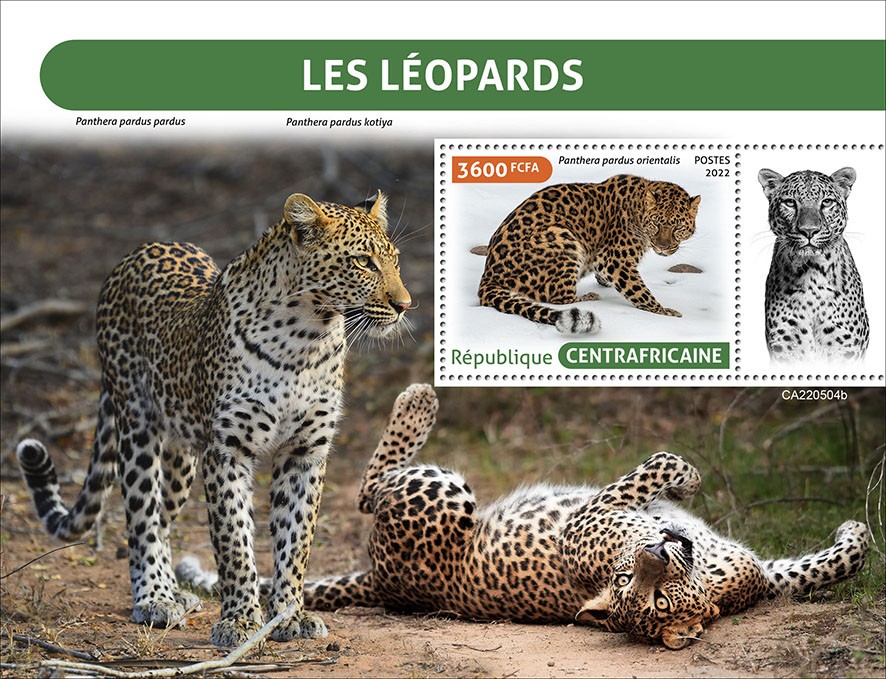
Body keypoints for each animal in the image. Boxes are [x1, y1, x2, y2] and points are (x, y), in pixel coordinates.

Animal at [15, 190, 412, 648]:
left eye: (395, 260)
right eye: (363, 261)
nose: (404, 305)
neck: (307, 338)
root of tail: (143, 248)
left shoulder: (305, 452)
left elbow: (296, 540)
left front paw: (290, 615)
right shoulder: (227, 450)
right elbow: (234, 540)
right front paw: (239, 621)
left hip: (182, 459)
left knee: (163, 517)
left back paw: (175, 593)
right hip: (137, 426)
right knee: (141, 517)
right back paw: (154, 598)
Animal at [177, 384, 871, 649]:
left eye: (655, 598)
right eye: (627, 582)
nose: (654, 551)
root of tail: (385, 585)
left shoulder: (762, 575)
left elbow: (829, 564)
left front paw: (853, 529)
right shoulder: (591, 517)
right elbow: (655, 470)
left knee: (366, 494)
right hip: (446, 490)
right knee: (367, 491)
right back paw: (418, 398)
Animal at [477, 176, 701, 334]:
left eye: (678, 227)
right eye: (656, 223)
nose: (663, 247)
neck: (638, 207)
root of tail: (488, 276)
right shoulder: (614, 260)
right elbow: (639, 291)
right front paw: (664, 312)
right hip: (562, 237)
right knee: (557, 298)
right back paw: (589, 297)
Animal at [758, 167, 869, 362]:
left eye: (826, 202)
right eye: (790, 203)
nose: (809, 231)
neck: (811, 271)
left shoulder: (846, 351)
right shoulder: (785, 347)